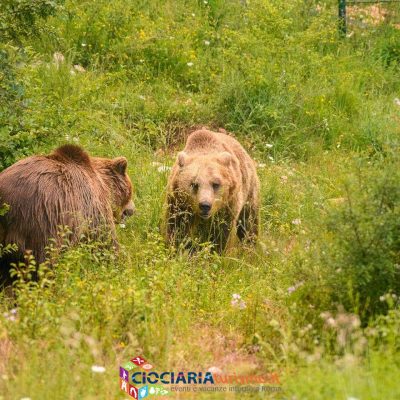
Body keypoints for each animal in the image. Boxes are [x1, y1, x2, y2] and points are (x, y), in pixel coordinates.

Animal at [0, 144, 135, 284]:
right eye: (131, 190)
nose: (132, 210)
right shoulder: (93, 207)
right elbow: (105, 240)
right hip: (40, 220)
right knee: (44, 259)